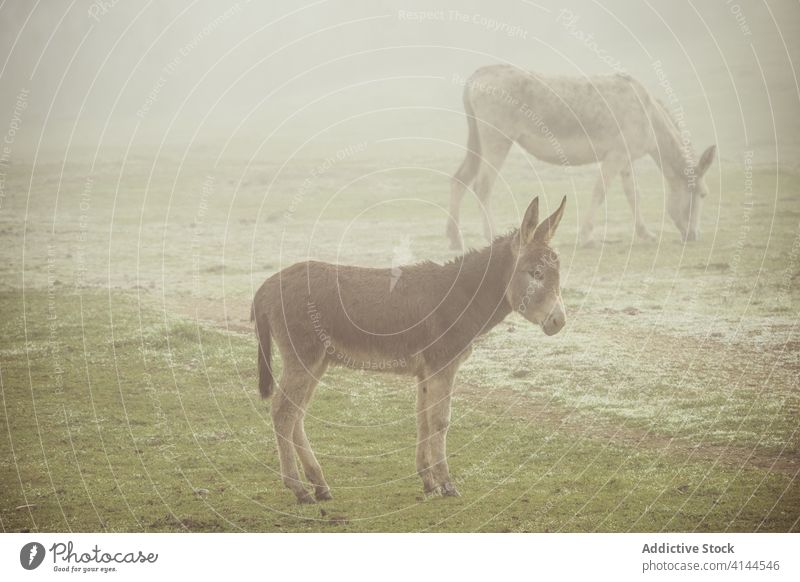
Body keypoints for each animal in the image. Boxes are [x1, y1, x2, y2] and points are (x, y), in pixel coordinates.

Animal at [253, 197, 564, 506]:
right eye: (536, 274)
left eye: (558, 276)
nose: (559, 322)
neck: (462, 297)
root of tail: (265, 286)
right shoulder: (442, 366)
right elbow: (440, 421)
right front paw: (447, 484)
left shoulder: (425, 372)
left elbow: (423, 420)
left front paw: (428, 481)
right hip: (303, 358)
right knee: (283, 413)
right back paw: (299, 489)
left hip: (317, 362)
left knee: (296, 414)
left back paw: (319, 484)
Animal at [446, 65, 716, 250]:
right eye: (702, 195)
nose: (693, 236)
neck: (648, 114)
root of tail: (479, 74)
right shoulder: (616, 155)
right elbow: (600, 191)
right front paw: (587, 237)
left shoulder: (626, 159)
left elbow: (633, 195)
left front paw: (645, 234)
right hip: (498, 140)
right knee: (482, 185)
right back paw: (491, 235)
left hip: (478, 140)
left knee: (459, 180)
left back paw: (455, 239)